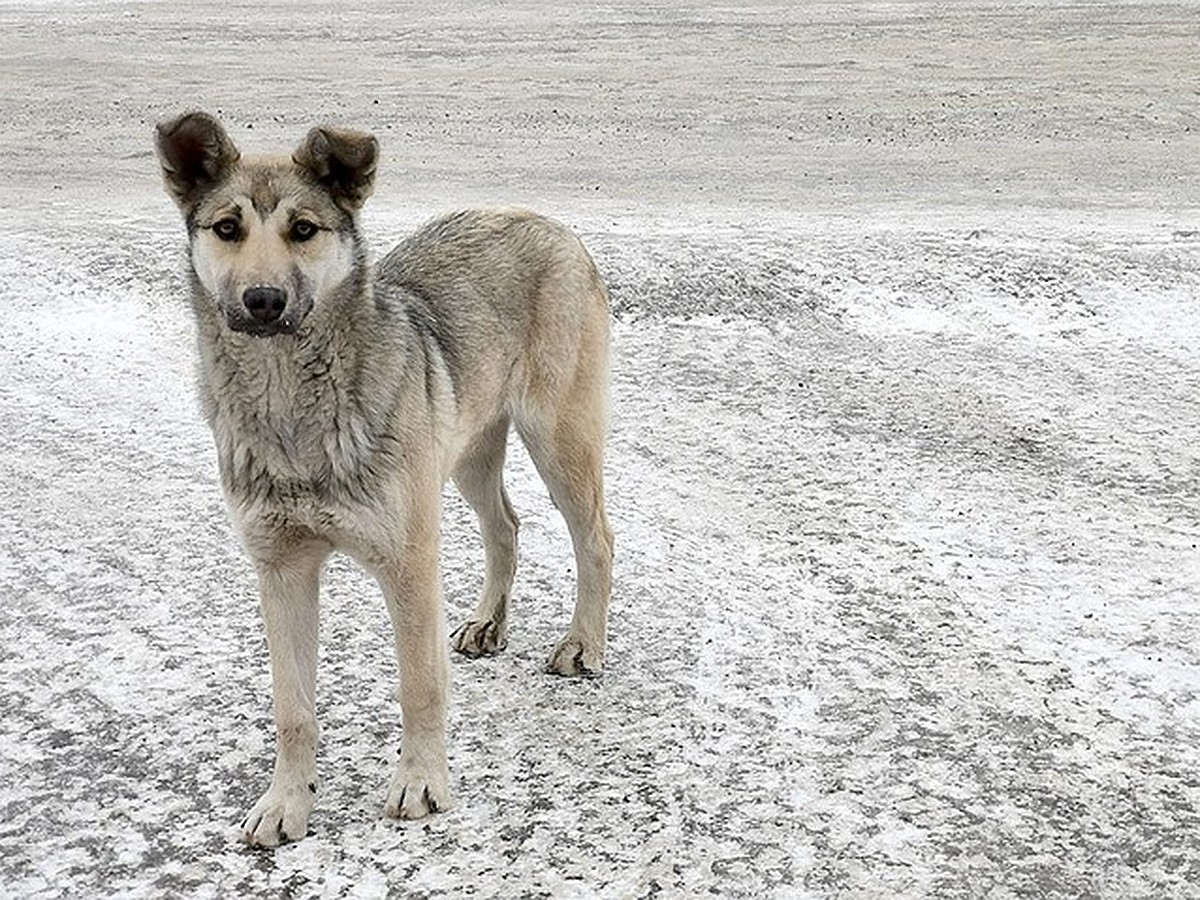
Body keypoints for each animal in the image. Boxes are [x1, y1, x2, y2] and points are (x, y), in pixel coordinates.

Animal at [154, 111, 614, 844]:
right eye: (226, 228)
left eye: (303, 229)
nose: (263, 301)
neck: (292, 410)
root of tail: (542, 219)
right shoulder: (281, 571)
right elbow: (292, 707)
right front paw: (287, 802)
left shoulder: (408, 562)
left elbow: (419, 684)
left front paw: (421, 782)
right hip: (467, 453)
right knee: (505, 526)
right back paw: (487, 624)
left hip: (558, 441)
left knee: (596, 539)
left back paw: (582, 645)